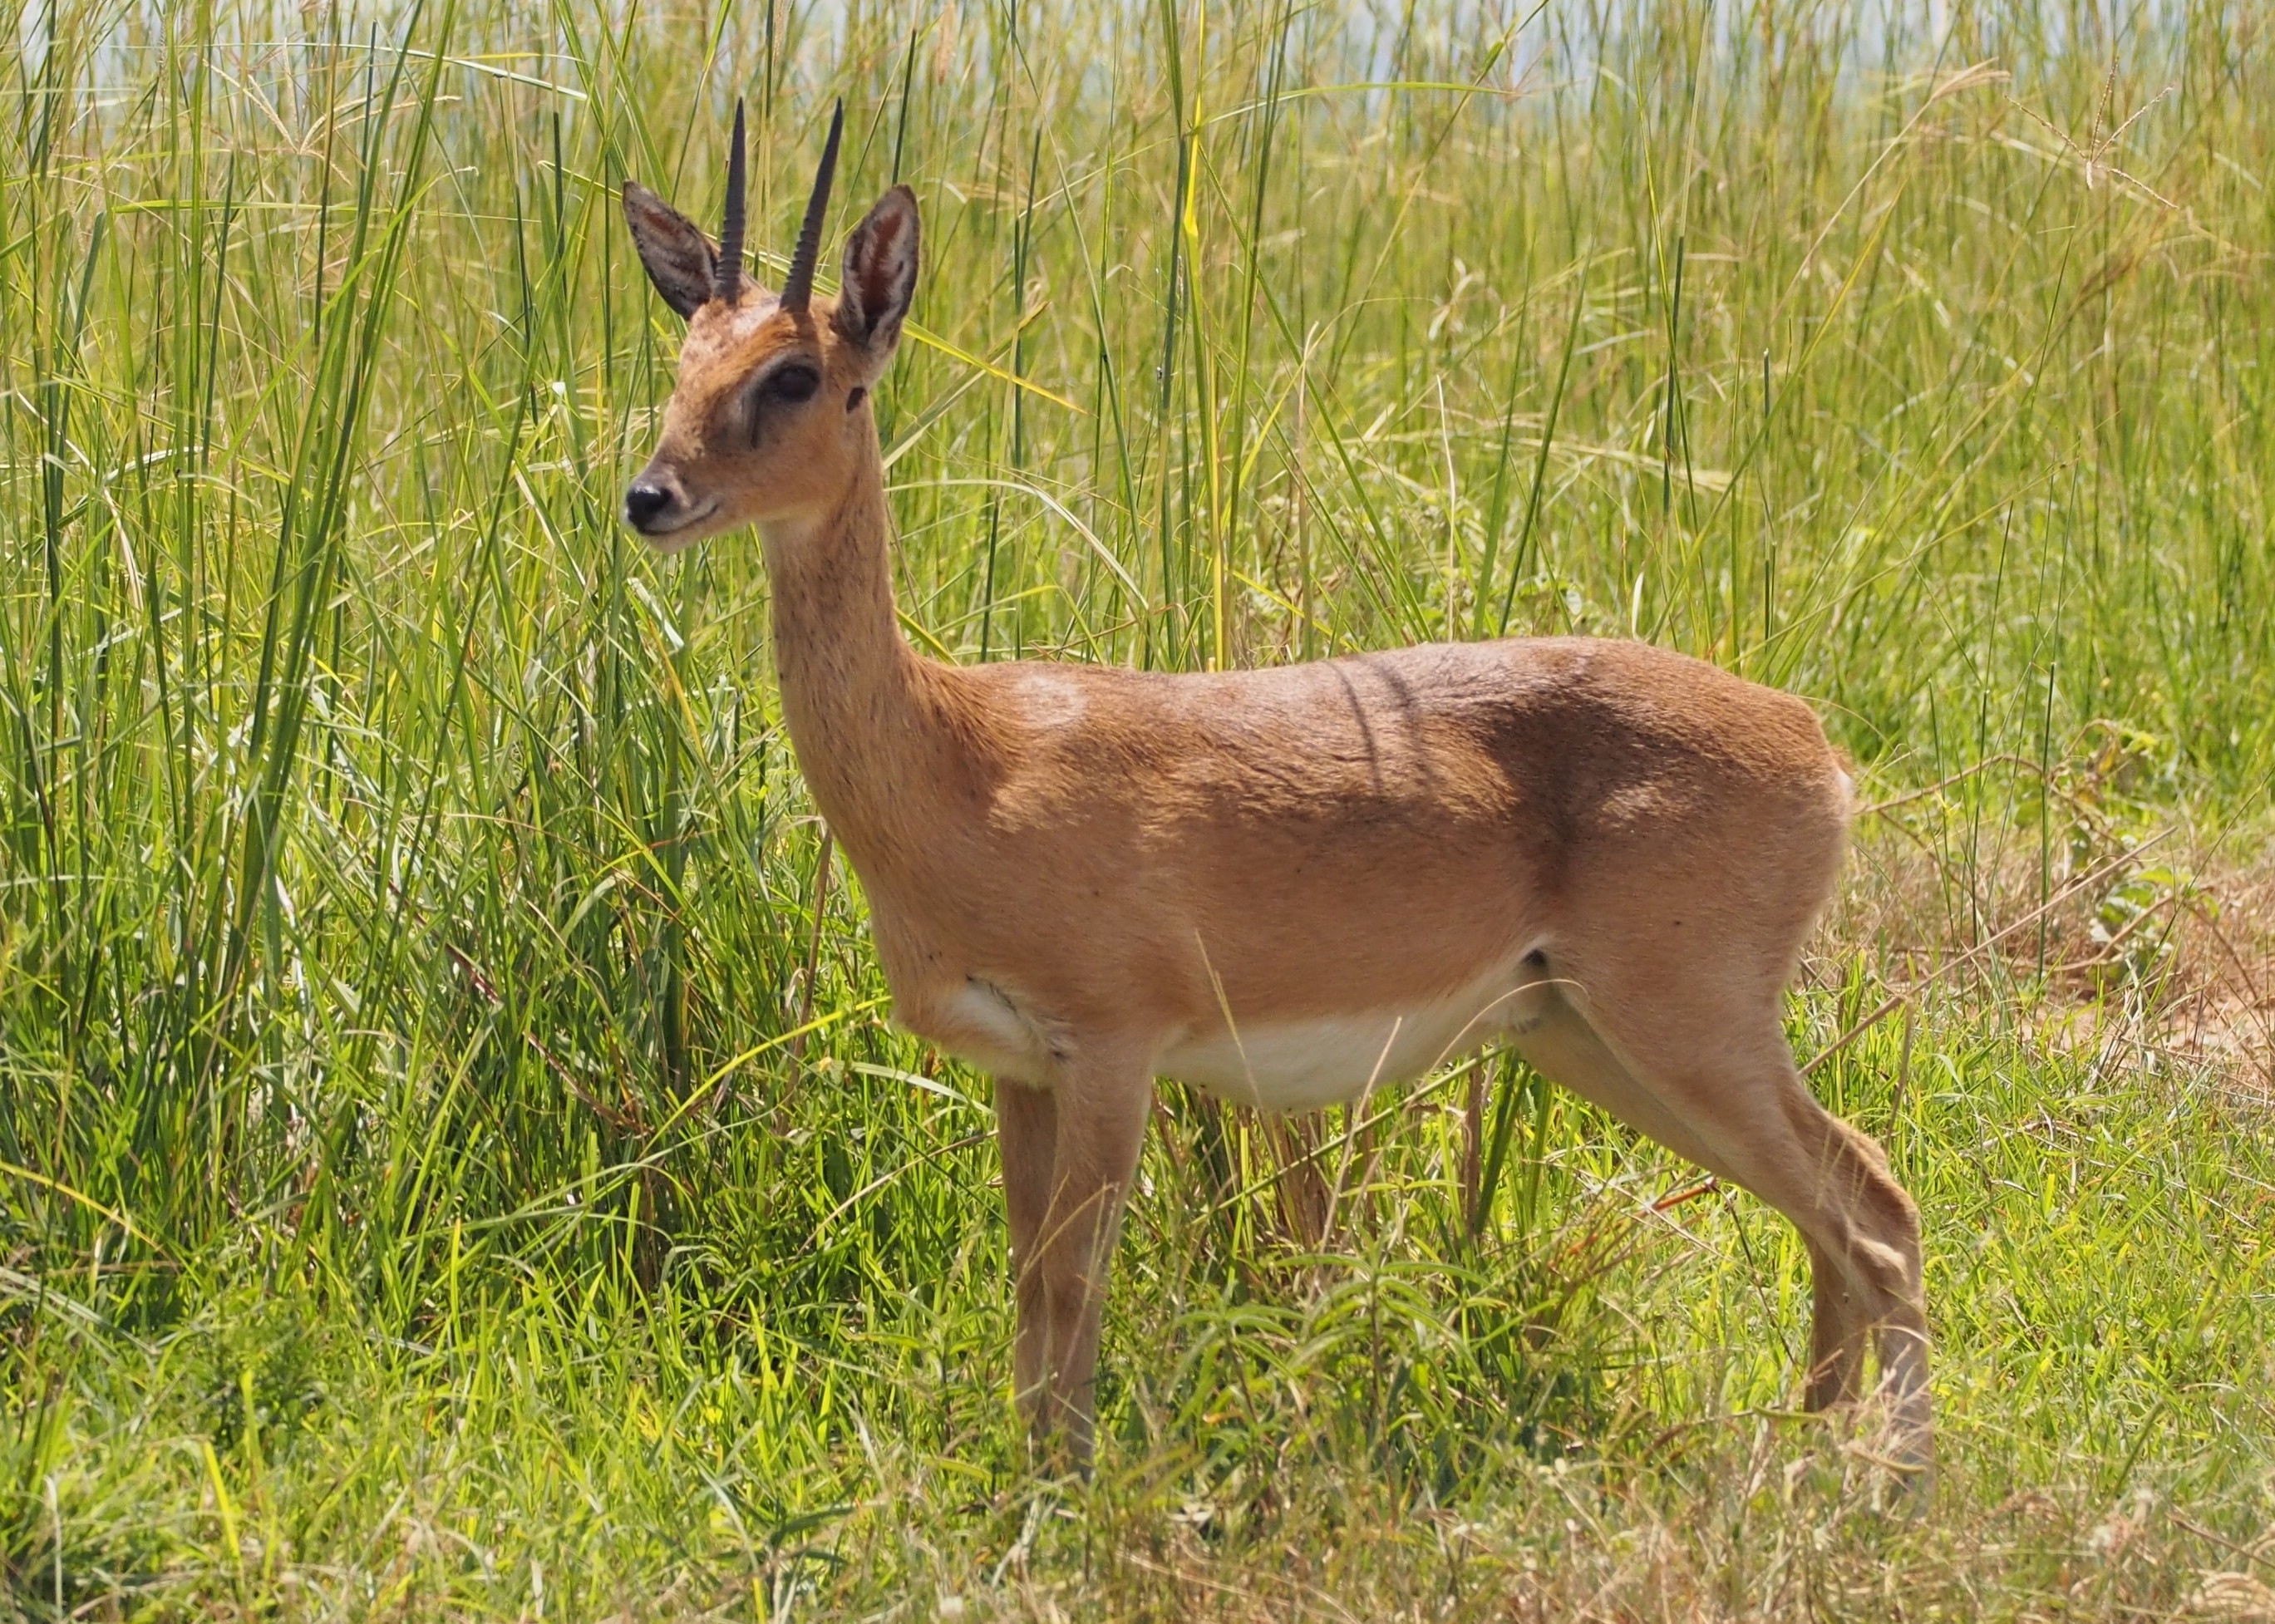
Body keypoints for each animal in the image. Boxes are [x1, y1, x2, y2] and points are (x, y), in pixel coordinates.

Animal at [613, 97, 1928, 1464]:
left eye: (796, 373)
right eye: (685, 356)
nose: (650, 496)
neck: (963, 758)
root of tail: (1816, 743)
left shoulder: (1112, 1050)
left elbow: (1072, 1286)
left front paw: (1069, 1491)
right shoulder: (1021, 1070)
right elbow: (1027, 1291)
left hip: (1687, 1023)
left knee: (1877, 1213)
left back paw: (1879, 1484)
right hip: (1581, 1030)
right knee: (1839, 1218)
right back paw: (1810, 1459)